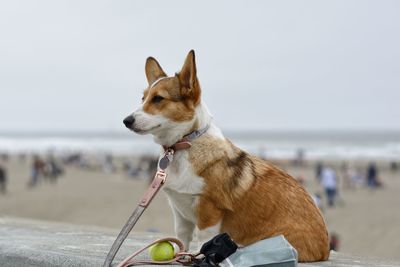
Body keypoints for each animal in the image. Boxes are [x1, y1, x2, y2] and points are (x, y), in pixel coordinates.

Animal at [123, 50, 330, 264]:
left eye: (158, 99)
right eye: (143, 98)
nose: (126, 121)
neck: (185, 143)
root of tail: (324, 250)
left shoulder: (209, 210)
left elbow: (202, 241)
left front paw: (199, 258)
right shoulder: (179, 212)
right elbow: (182, 238)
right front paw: (182, 257)